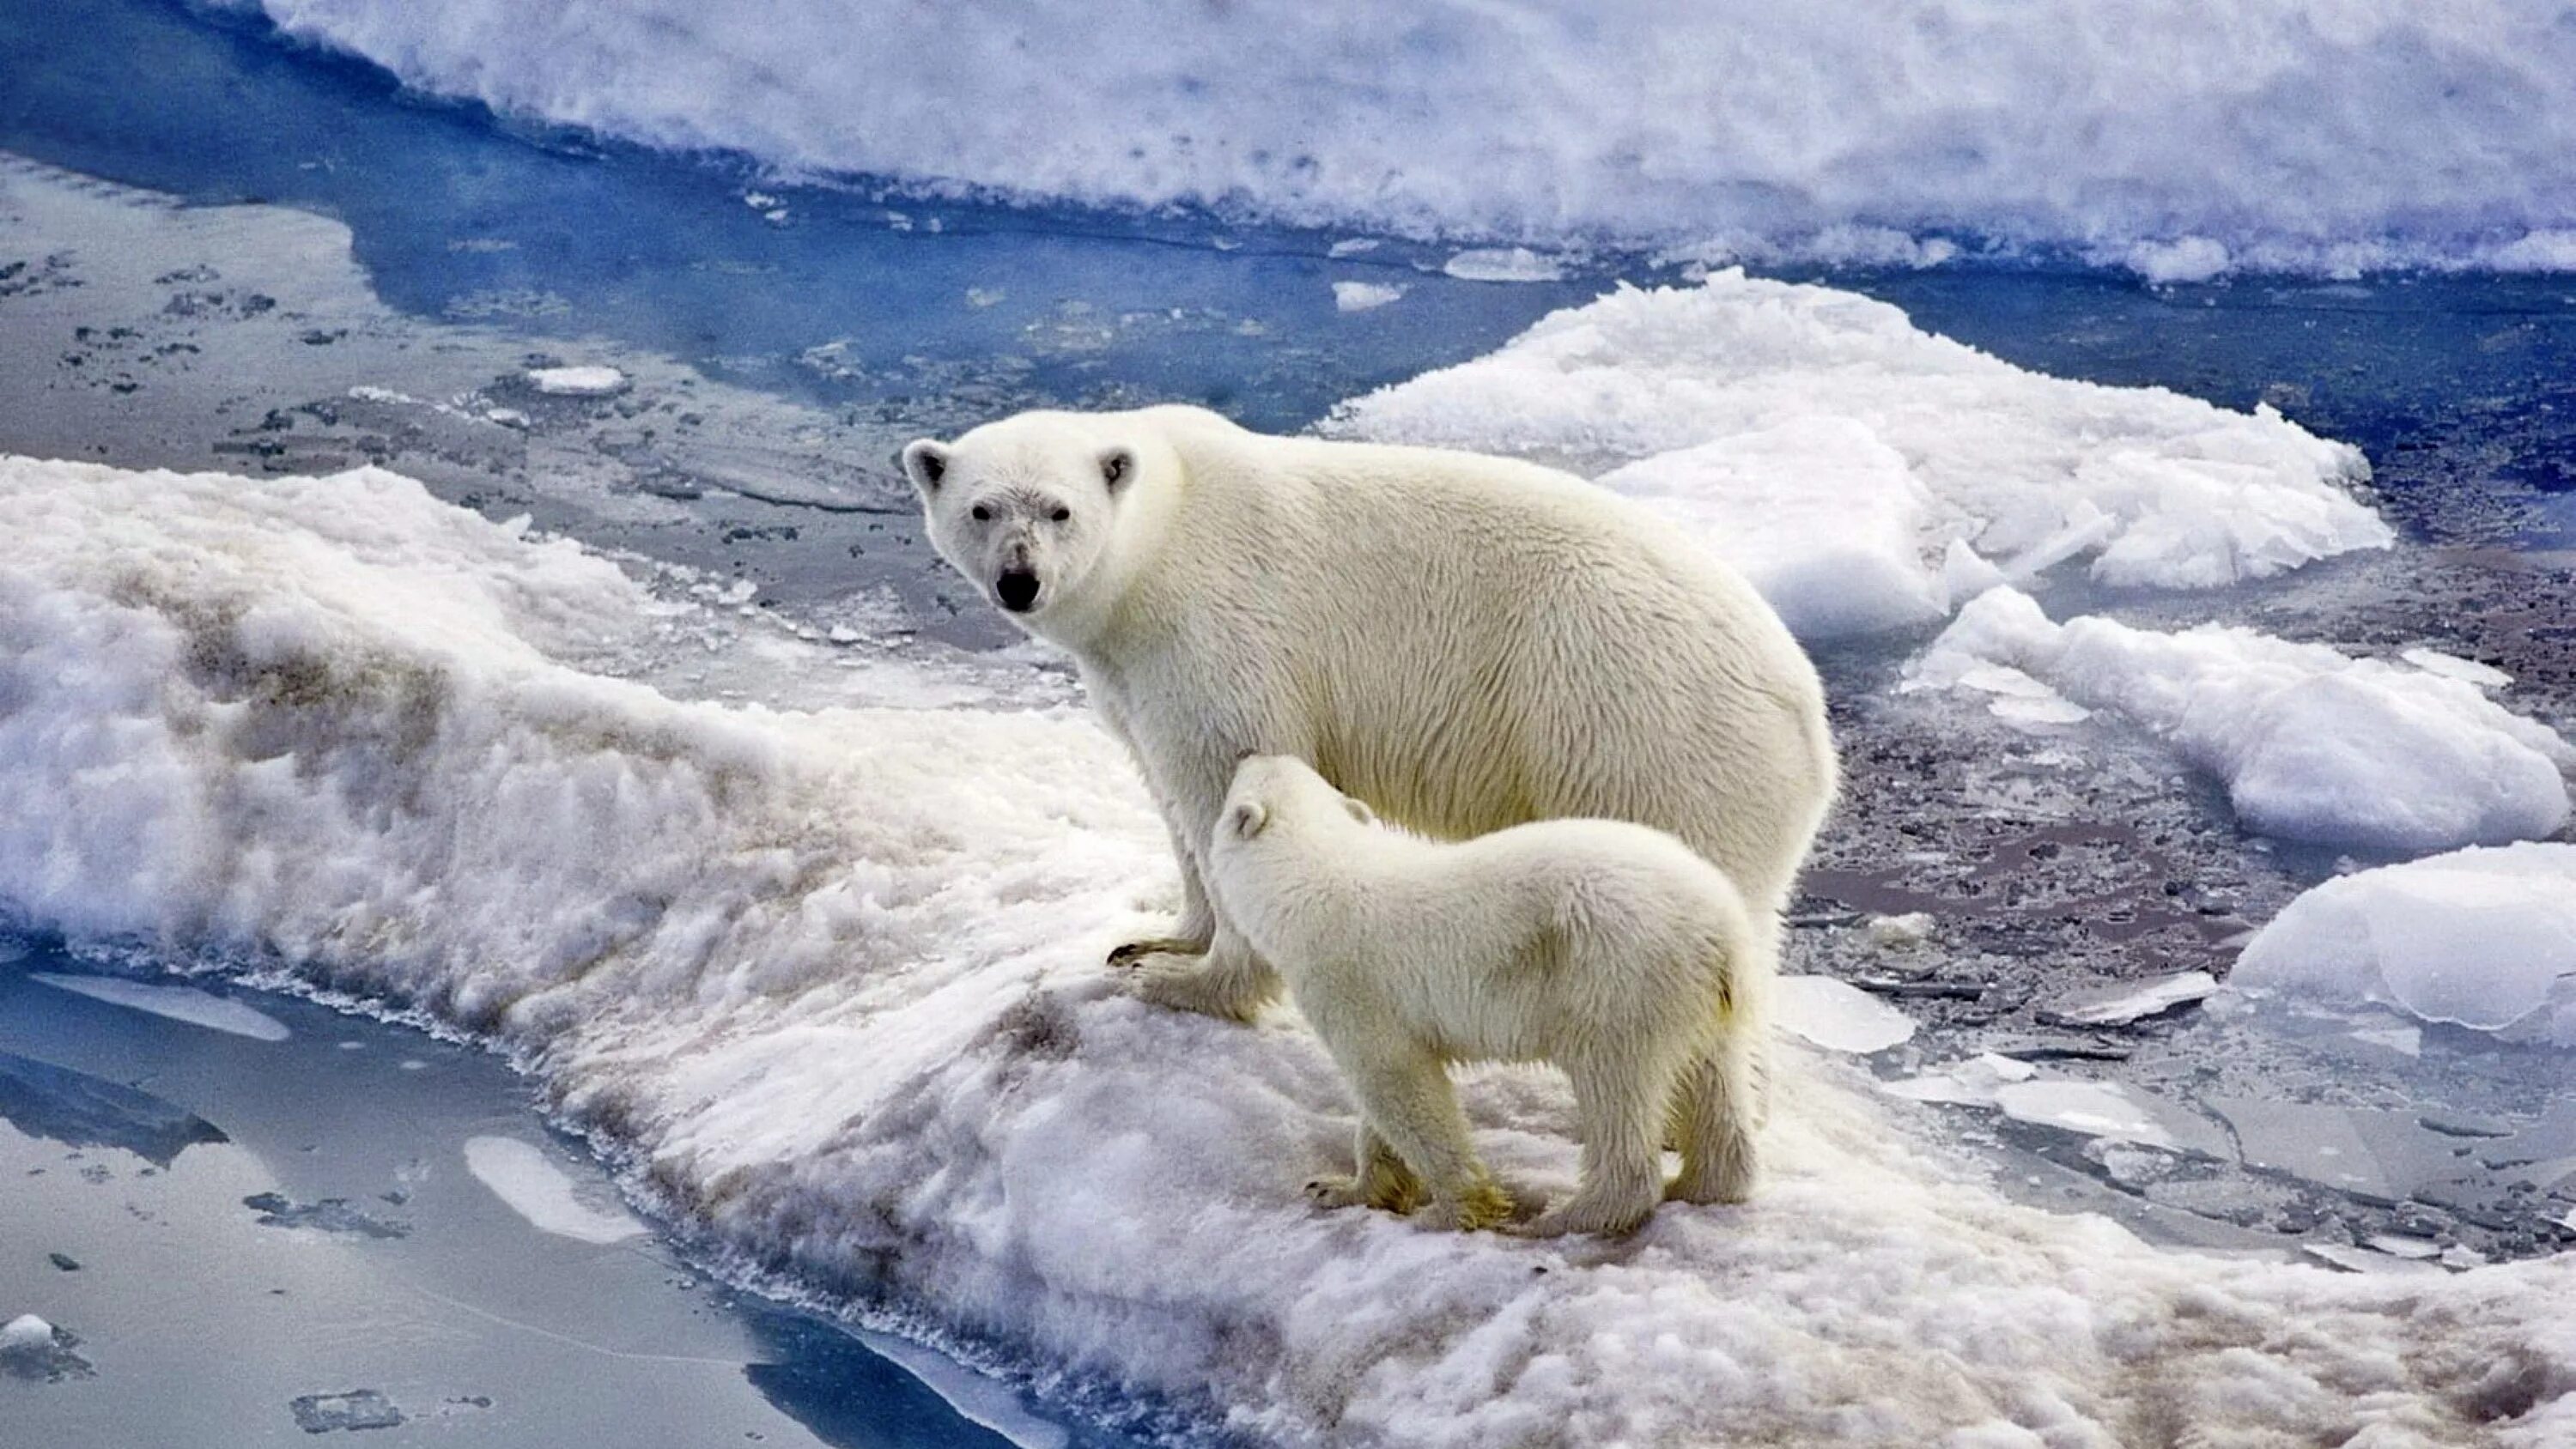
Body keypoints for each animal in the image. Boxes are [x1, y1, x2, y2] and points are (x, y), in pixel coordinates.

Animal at [902, 401, 1834, 1024]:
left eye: (1060, 510)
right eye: (982, 508)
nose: (1019, 580)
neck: (1159, 538)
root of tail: (1811, 723)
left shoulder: (1215, 631)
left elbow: (1223, 779)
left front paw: (1190, 984)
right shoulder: (1129, 671)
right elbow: (1167, 794)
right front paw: (1157, 938)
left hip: (1641, 732)